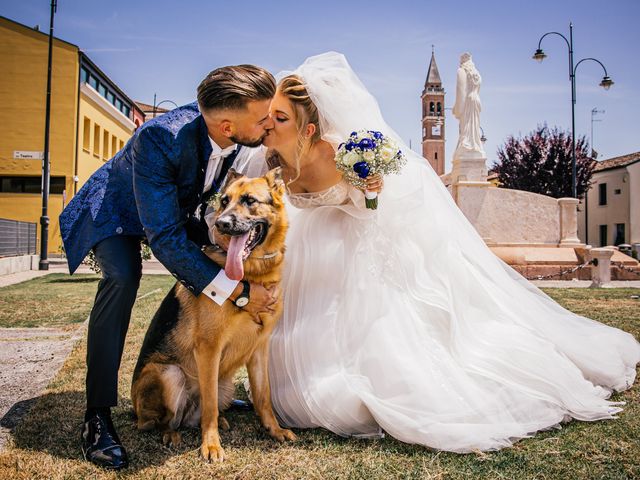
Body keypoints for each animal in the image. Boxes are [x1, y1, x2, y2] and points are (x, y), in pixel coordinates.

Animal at [134, 168, 298, 462]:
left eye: (249, 200)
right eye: (224, 201)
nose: (221, 223)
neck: (251, 276)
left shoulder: (260, 349)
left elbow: (263, 396)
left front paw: (275, 430)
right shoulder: (208, 349)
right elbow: (209, 404)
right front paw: (211, 445)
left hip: (226, 385)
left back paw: (218, 420)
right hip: (168, 374)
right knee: (158, 421)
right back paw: (171, 433)